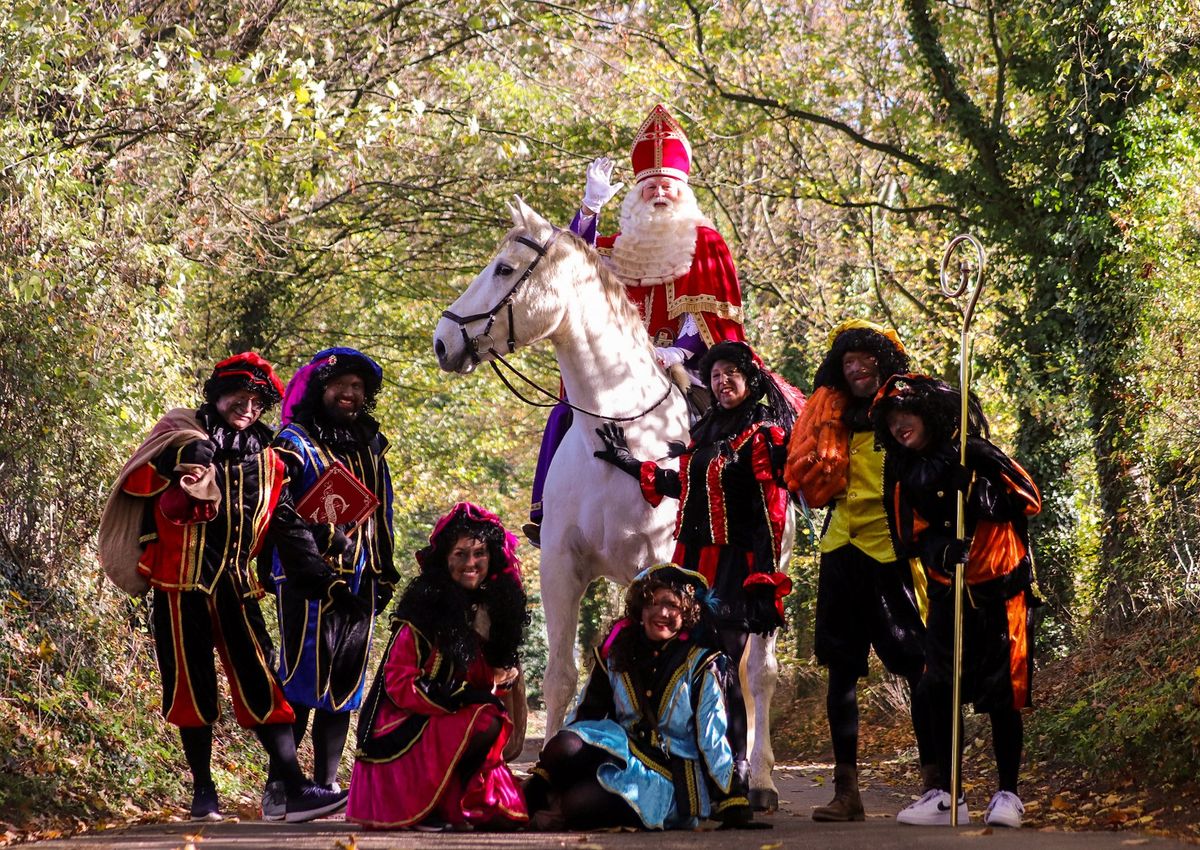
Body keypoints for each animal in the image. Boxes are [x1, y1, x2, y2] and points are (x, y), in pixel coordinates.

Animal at [436, 194, 792, 811]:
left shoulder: (662, 567)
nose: (443, 340)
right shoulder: (561, 568)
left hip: (766, 570)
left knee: (758, 673)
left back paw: (761, 780)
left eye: (504, 269)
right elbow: (563, 672)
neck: (618, 427)